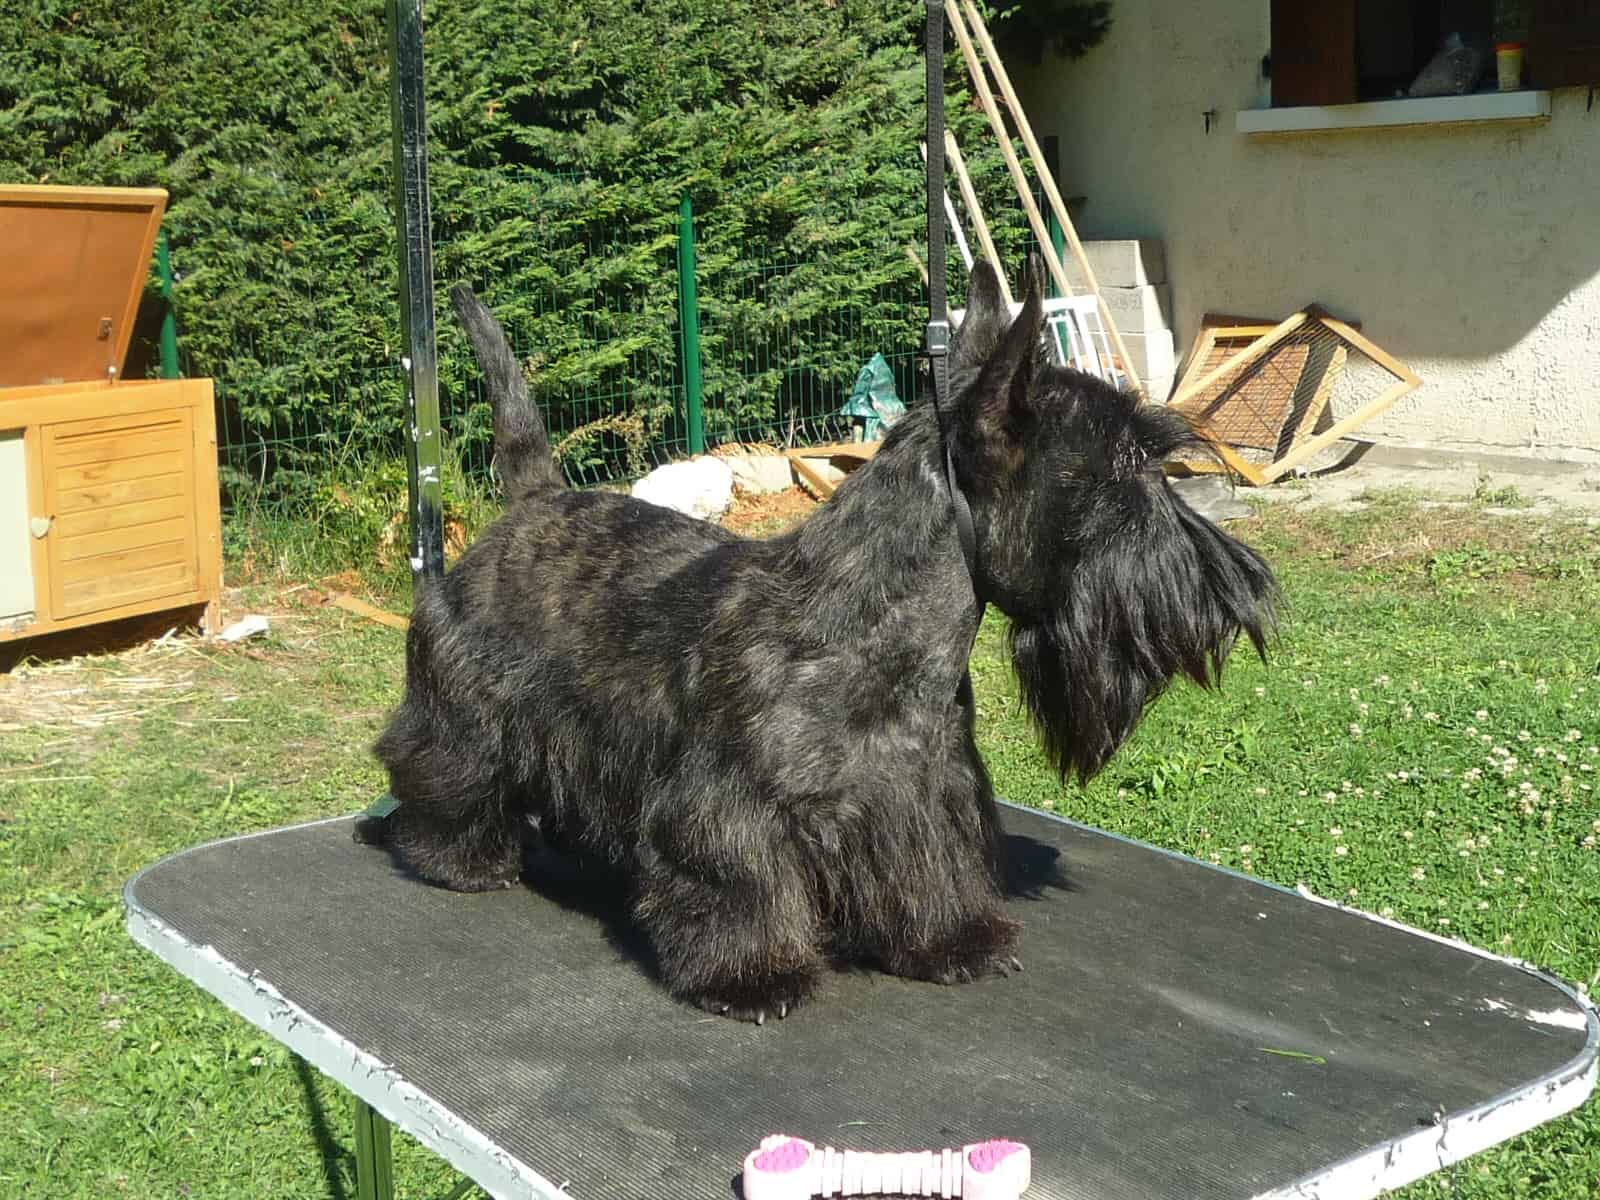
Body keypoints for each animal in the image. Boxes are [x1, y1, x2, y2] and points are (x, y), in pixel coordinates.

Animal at [362, 258, 1276, 1023]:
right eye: (1124, 471)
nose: (1244, 592)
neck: (879, 630)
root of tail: (532, 500)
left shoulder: (923, 794)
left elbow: (929, 872)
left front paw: (952, 942)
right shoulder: (727, 809)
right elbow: (737, 884)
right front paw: (753, 976)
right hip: (464, 713)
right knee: (440, 769)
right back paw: (461, 859)